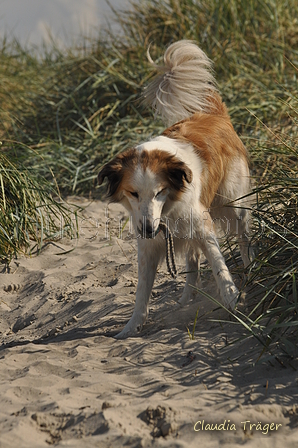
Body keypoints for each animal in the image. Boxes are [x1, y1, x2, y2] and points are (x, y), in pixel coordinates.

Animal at [98, 41, 251, 340]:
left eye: (160, 192)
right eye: (133, 194)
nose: (148, 228)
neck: (167, 211)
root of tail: (214, 114)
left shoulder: (201, 223)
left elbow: (218, 264)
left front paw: (231, 298)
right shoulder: (149, 244)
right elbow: (142, 291)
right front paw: (131, 327)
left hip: (234, 205)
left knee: (243, 240)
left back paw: (252, 268)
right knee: (192, 260)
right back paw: (187, 298)